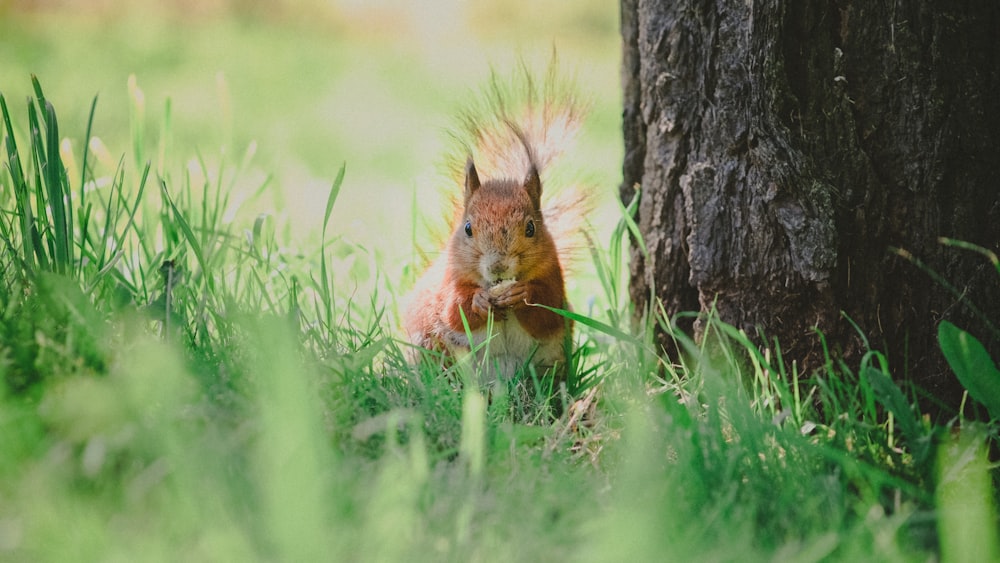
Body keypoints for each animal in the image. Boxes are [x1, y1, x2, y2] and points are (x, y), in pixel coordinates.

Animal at [400, 65, 584, 384]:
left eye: (531, 228)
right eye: (468, 228)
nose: (498, 265)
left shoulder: (553, 275)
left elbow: (547, 312)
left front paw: (523, 295)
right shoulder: (450, 278)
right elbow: (452, 309)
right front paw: (479, 302)